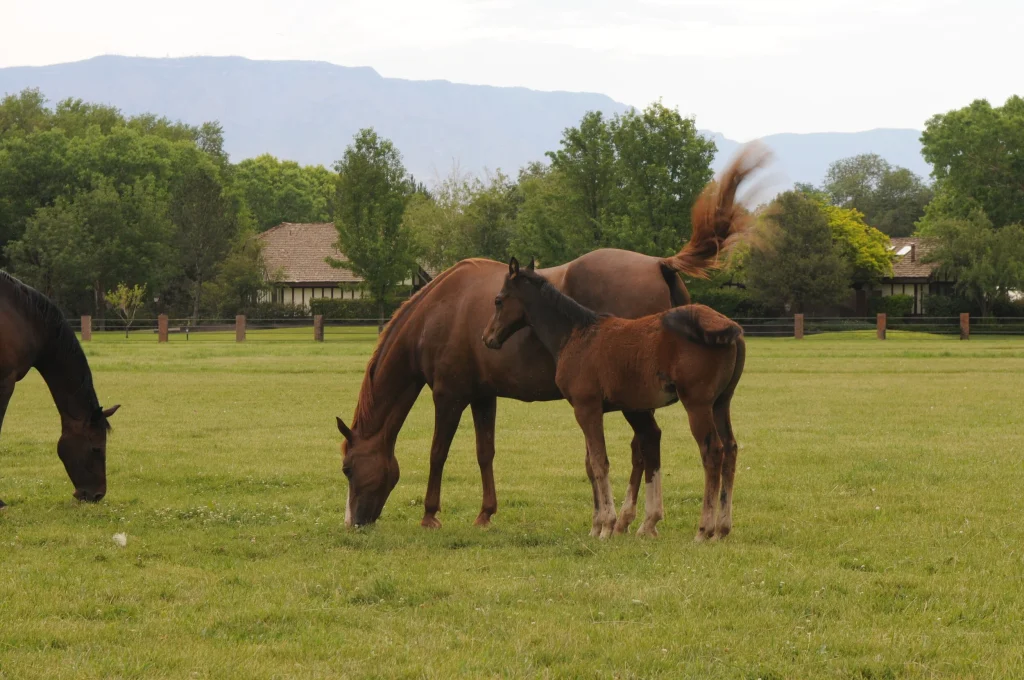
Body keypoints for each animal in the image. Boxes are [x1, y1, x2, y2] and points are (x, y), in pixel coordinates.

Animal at [482, 258, 745, 540]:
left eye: (498, 300)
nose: (487, 337)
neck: (577, 334)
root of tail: (731, 328)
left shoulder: (586, 407)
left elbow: (600, 463)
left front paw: (606, 525)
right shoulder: (593, 410)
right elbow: (593, 462)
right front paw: (598, 524)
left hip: (697, 405)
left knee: (713, 451)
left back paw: (704, 530)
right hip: (721, 403)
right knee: (730, 449)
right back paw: (722, 528)